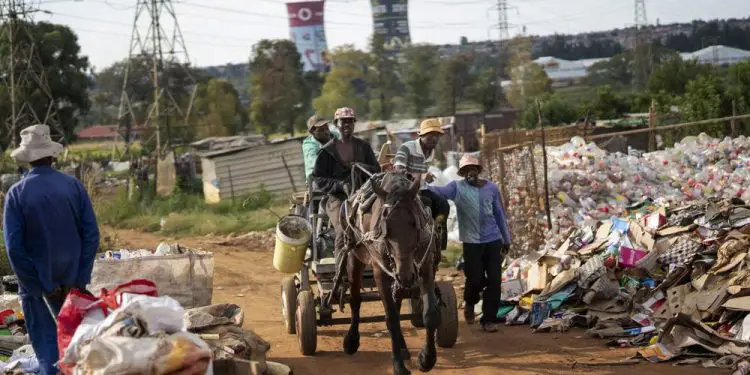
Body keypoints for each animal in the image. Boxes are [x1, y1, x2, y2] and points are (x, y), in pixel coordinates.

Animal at [342, 173, 440, 375]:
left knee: (398, 300)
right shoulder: (380, 273)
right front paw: (398, 366)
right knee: (355, 299)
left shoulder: (425, 266)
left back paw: (402, 347)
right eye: (386, 228)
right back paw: (352, 340)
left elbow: (430, 314)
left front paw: (427, 359)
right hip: (355, 259)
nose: (406, 275)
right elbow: (392, 318)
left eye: (414, 224)